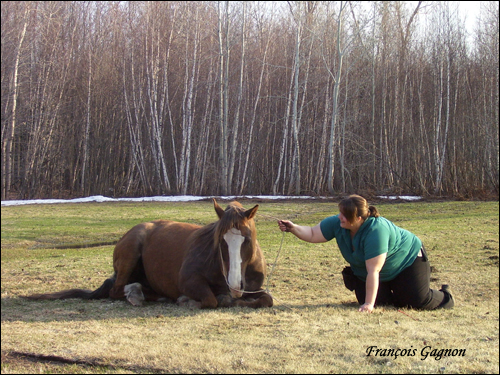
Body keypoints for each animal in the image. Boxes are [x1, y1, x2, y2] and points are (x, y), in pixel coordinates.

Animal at [26, 198, 274, 310]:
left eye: (247, 239)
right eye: (220, 241)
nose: (235, 285)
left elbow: (266, 300)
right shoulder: (190, 281)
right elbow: (211, 300)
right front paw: (191, 300)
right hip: (130, 254)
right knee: (116, 290)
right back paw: (136, 294)